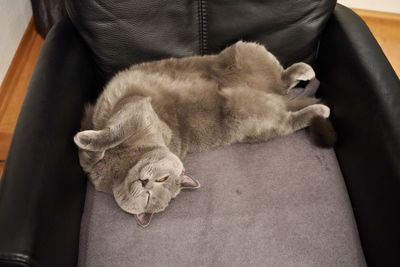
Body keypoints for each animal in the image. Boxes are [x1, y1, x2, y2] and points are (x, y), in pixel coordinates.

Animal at [74, 40, 334, 227]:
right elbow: (106, 140)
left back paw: (317, 99)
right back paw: (305, 75)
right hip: (246, 60)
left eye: (160, 182)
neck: (125, 164)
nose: (145, 182)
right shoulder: (136, 111)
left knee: (289, 109)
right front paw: (87, 140)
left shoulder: (138, 110)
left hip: (254, 116)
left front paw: (85, 139)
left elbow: (106, 139)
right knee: (283, 81)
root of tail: (274, 95)